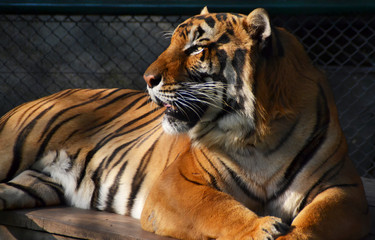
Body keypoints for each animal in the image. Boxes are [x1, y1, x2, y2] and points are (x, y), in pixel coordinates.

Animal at [0, 6, 372, 239]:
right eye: (171, 43)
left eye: (195, 49)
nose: (147, 78)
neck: (258, 135)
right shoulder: (176, 182)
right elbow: (218, 208)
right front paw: (260, 228)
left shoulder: (343, 188)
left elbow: (314, 221)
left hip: (33, 184)